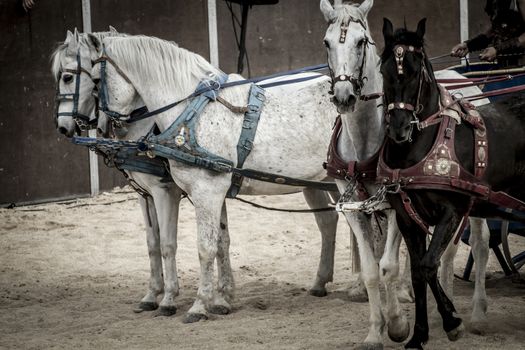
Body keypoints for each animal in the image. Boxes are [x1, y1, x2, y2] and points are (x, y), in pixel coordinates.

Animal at [376, 18, 524, 350]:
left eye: (416, 71)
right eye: (384, 70)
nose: (399, 129)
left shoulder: (452, 212)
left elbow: (430, 264)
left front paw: (452, 322)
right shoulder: (407, 219)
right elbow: (418, 271)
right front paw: (418, 335)